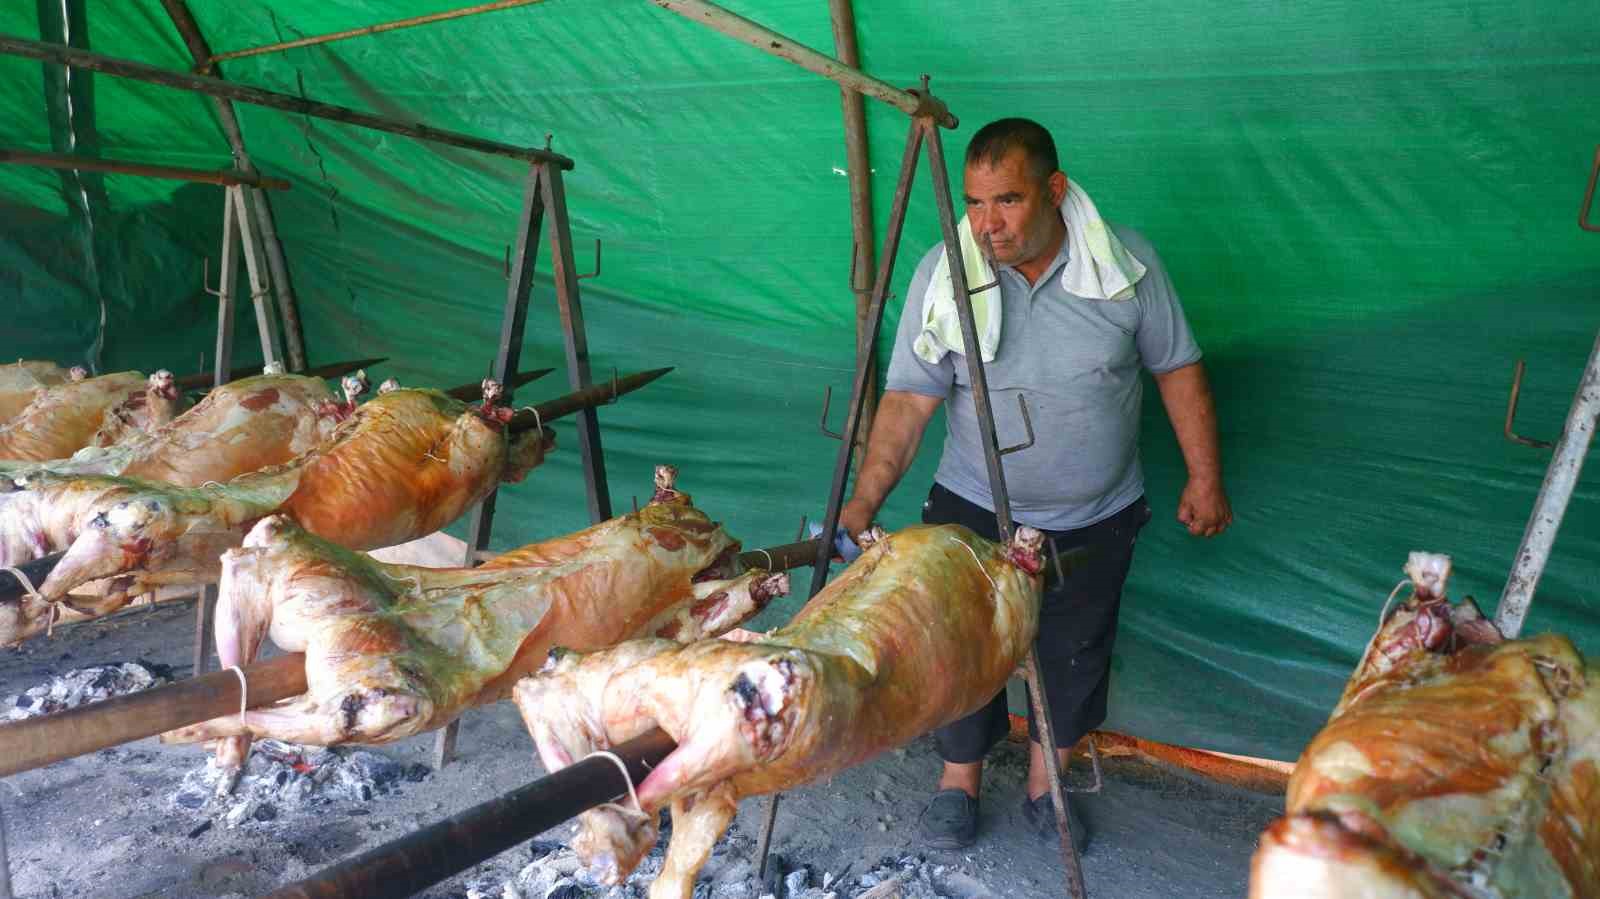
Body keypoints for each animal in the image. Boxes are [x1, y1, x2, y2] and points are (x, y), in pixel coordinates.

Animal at [164, 460, 787, 790]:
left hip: (308, 580)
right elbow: (721, 603)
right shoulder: (680, 602)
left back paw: (216, 751)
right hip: (401, 693)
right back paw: (198, 740)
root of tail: (343, 627)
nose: (733, 541)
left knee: (254, 567)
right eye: (717, 532)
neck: (665, 532)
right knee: (348, 713)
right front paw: (764, 581)